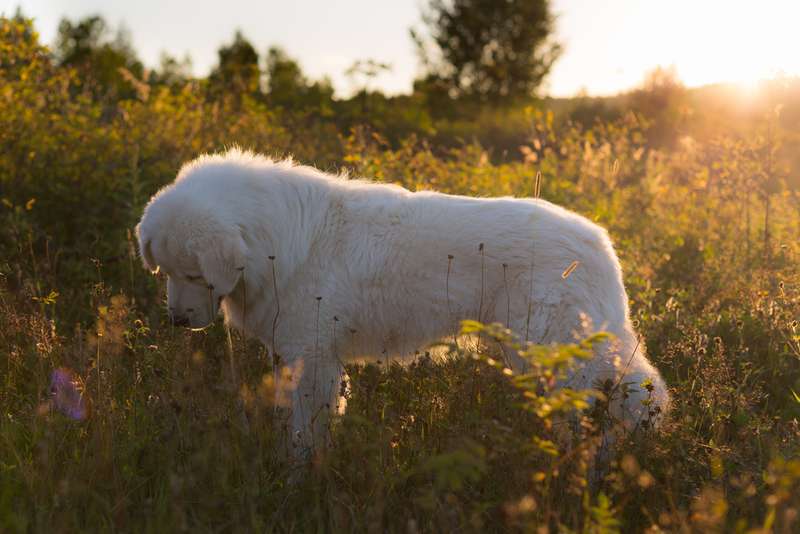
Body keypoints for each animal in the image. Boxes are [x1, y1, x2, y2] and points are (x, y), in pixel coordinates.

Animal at [138, 150, 668, 456]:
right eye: (164, 271)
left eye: (195, 274)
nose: (177, 321)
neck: (274, 242)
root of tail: (599, 241)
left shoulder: (315, 358)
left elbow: (306, 432)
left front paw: (297, 481)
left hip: (553, 351)